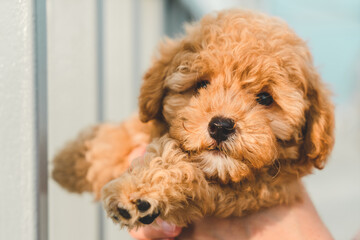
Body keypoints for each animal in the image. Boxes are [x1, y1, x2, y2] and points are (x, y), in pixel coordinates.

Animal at [52, 8, 334, 231]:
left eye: (265, 98)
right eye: (201, 85)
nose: (221, 126)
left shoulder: (249, 192)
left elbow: (180, 167)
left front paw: (138, 192)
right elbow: (128, 132)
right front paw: (74, 160)